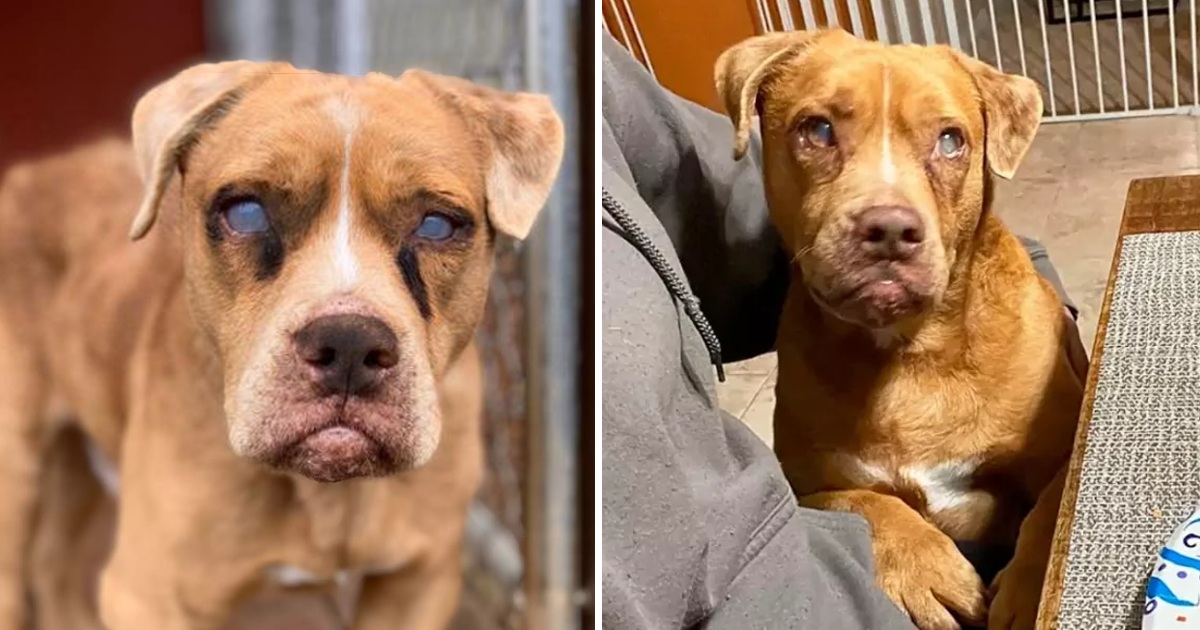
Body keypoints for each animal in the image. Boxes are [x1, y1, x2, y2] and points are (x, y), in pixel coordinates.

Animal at [0, 60, 561, 628]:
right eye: (246, 212)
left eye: (437, 225)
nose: (349, 343)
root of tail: (30, 174)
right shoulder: (152, 597)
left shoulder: (417, 584)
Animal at [720, 30, 1089, 628]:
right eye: (817, 129)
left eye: (951, 140)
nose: (890, 228)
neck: (908, 352)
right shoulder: (807, 483)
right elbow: (864, 502)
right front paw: (923, 566)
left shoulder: (1062, 444)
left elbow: (1056, 506)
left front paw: (1029, 589)